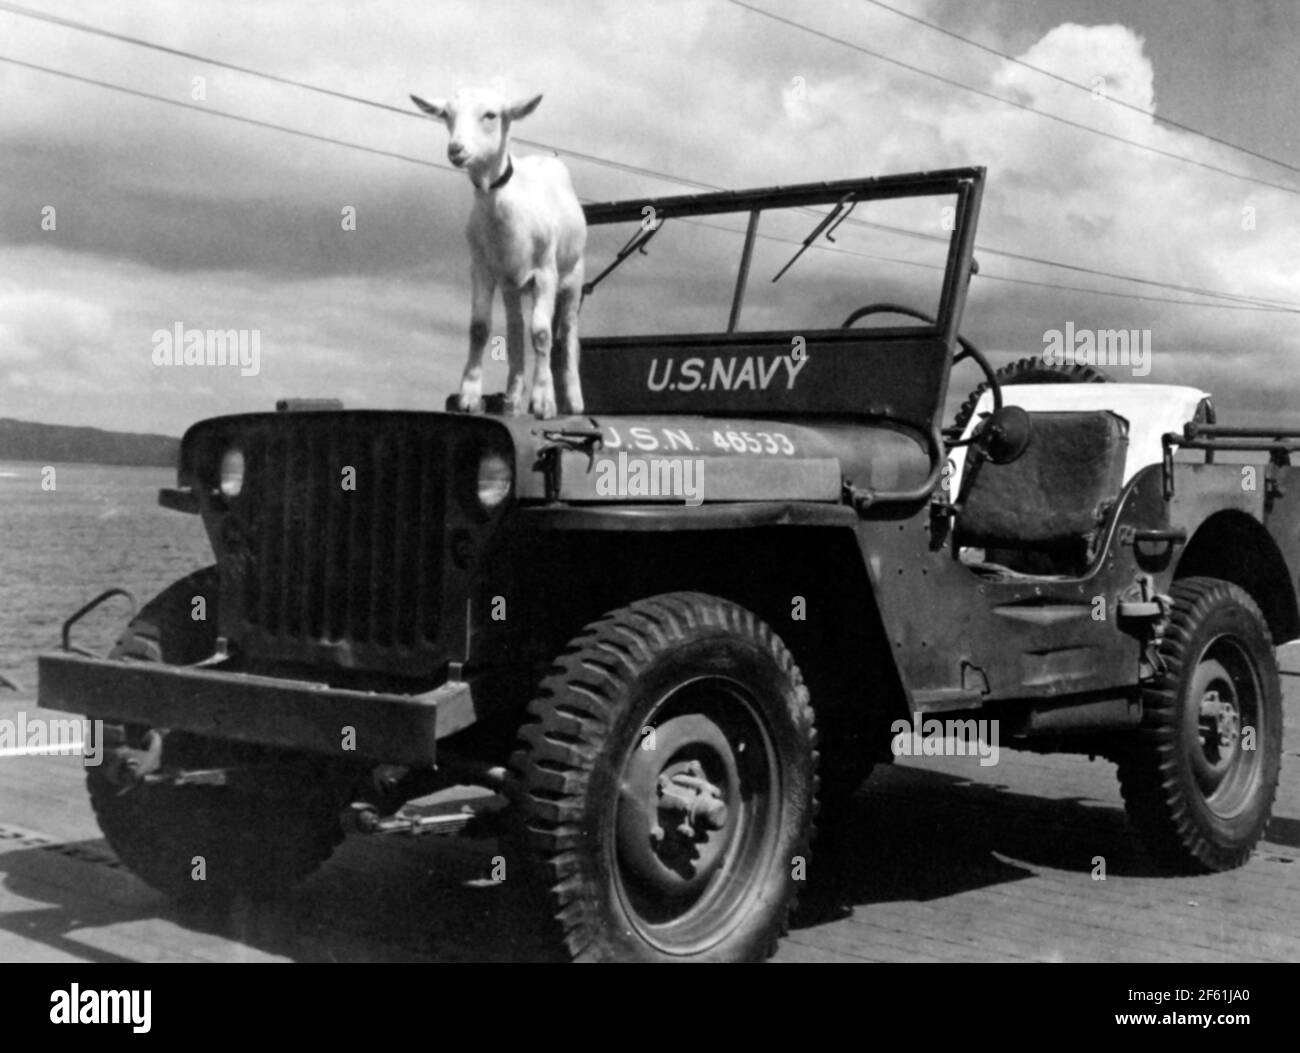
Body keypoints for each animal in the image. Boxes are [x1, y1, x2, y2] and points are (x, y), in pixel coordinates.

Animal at [410, 89, 590, 418]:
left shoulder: (545, 272)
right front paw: (469, 396)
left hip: (573, 273)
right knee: (516, 328)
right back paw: (513, 398)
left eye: (491, 115)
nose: (456, 149)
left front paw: (544, 401)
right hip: (511, 284)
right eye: (447, 115)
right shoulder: (482, 268)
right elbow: (480, 329)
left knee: (568, 332)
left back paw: (572, 401)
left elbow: (542, 333)